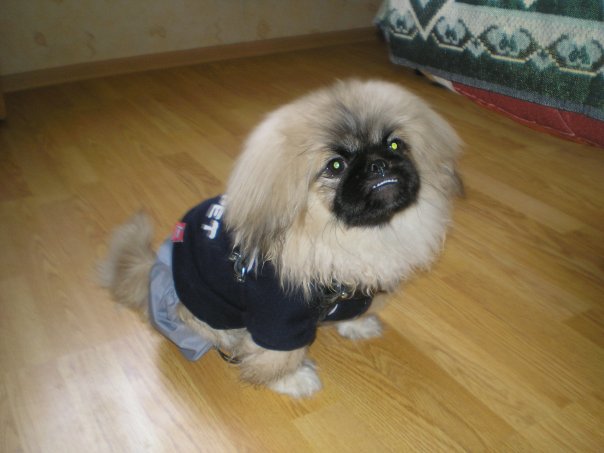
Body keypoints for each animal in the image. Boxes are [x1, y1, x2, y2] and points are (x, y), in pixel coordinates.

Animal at [99, 79, 462, 398]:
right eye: (335, 166)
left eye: (394, 144)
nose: (378, 164)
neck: (345, 236)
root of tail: (155, 269)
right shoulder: (277, 316)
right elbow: (275, 357)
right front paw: (292, 380)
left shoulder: (351, 292)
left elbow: (350, 313)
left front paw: (357, 327)